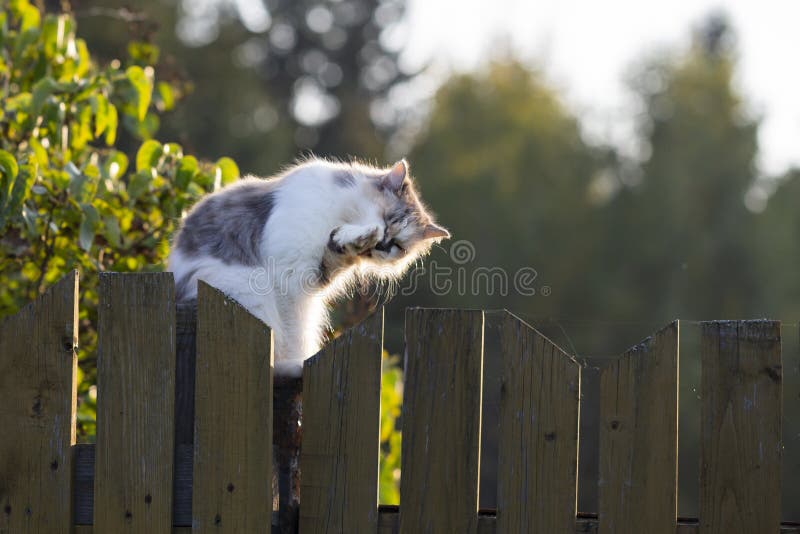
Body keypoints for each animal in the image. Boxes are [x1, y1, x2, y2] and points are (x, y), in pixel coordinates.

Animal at [167, 159, 450, 376]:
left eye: (398, 246)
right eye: (388, 220)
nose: (382, 244)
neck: (339, 215)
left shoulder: (314, 275)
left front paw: (350, 240)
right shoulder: (288, 276)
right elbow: (290, 335)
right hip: (248, 291)